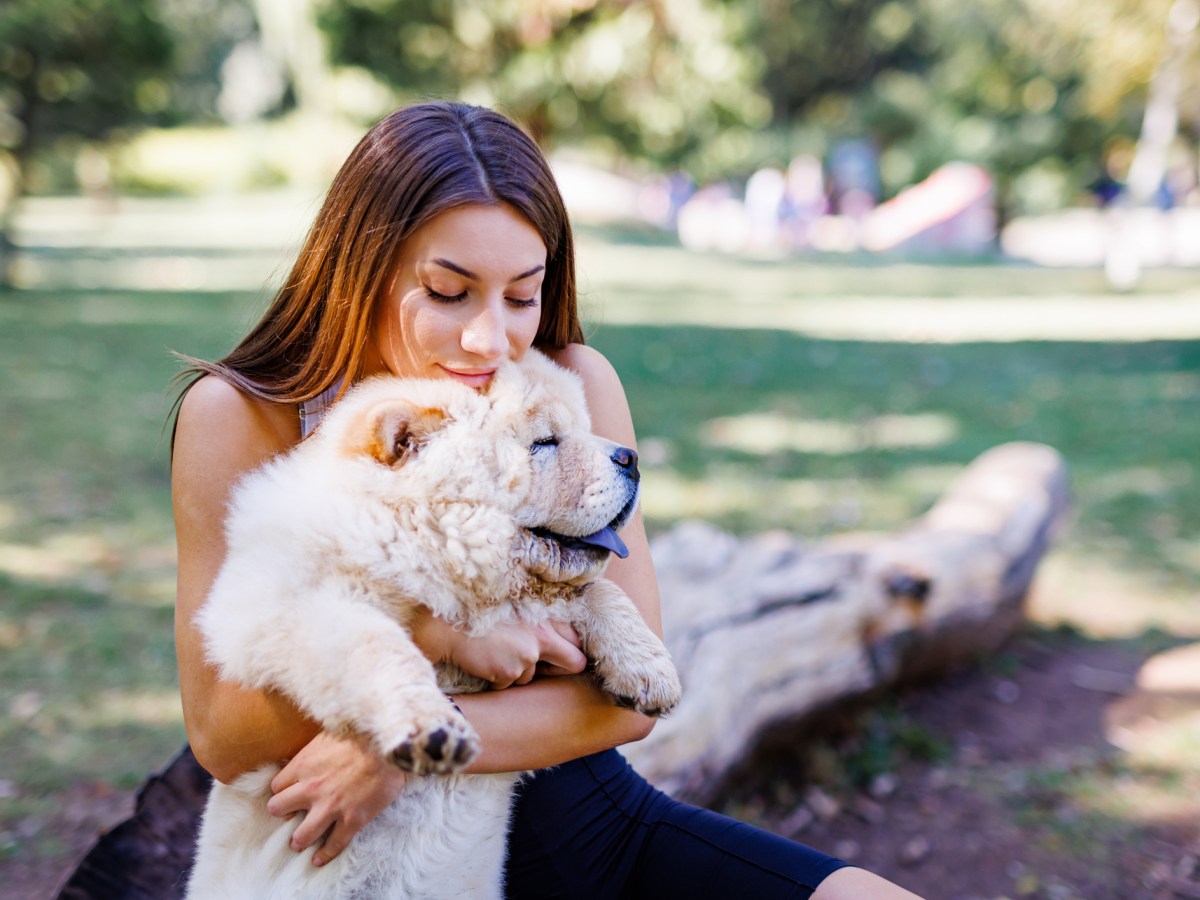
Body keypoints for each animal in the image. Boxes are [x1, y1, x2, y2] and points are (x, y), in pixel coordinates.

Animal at [182, 350, 681, 900]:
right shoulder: (277, 609)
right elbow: (379, 645)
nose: (631, 457)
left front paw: (649, 671)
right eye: (544, 442)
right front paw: (431, 728)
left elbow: (600, 593)